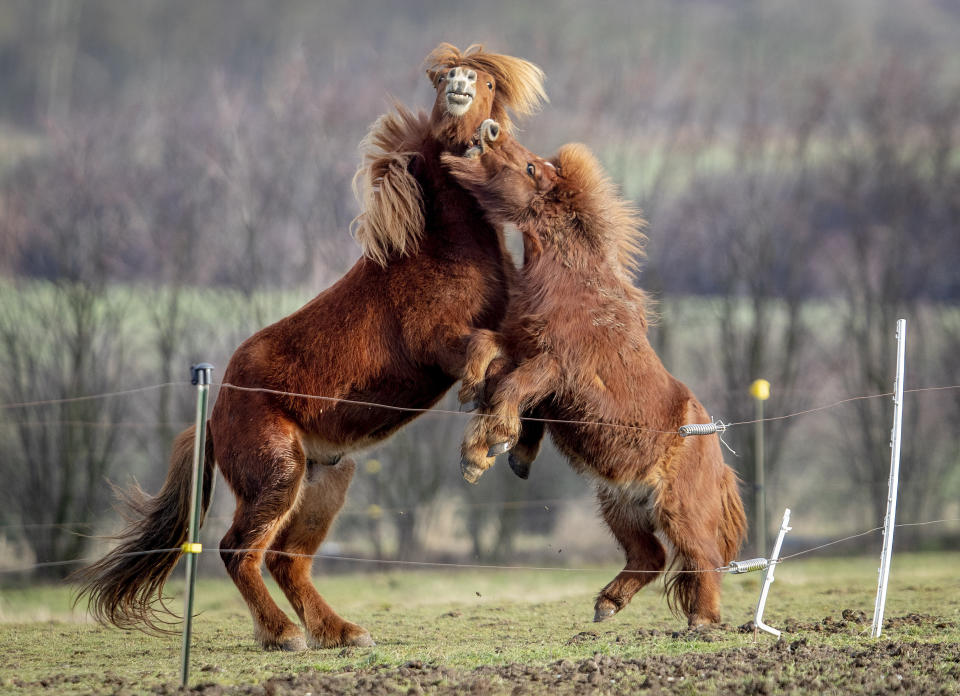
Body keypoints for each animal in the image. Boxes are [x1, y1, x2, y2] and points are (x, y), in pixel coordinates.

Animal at [75, 44, 548, 652]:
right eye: (444, 79)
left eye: (487, 83)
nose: (462, 85)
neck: (439, 247)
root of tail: (215, 414)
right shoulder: (438, 342)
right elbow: (487, 355)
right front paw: (482, 438)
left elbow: (523, 367)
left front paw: (506, 443)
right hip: (279, 475)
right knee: (238, 550)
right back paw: (283, 635)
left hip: (326, 479)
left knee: (287, 559)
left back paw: (341, 632)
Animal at [444, 135, 752, 624]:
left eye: (530, 167)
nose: (486, 134)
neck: (575, 287)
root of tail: (715, 450)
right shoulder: (522, 347)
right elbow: (484, 348)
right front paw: (478, 401)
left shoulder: (553, 366)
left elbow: (512, 389)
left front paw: (483, 451)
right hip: (620, 506)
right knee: (650, 557)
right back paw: (608, 604)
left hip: (678, 512)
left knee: (703, 558)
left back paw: (701, 623)